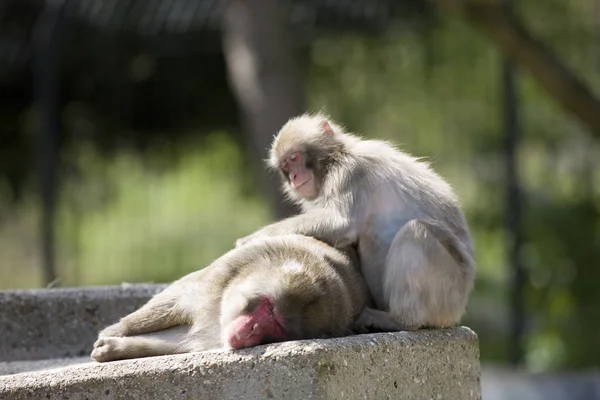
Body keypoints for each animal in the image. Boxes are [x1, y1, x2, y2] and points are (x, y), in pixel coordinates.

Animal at [89, 234, 370, 362]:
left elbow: (181, 342)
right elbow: (176, 300)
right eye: (270, 309)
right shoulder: (223, 275)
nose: (253, 329)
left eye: (278, 327)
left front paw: (116, 348)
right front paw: (114, 333)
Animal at [237, 112, 476, 332]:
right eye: (286, 166)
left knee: (413, 233)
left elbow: (341, 223)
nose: (294, 178)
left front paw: (250, 239)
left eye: (295, 158)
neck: (336, 157)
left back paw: (400, 321)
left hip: (448, 292)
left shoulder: (349, 173)